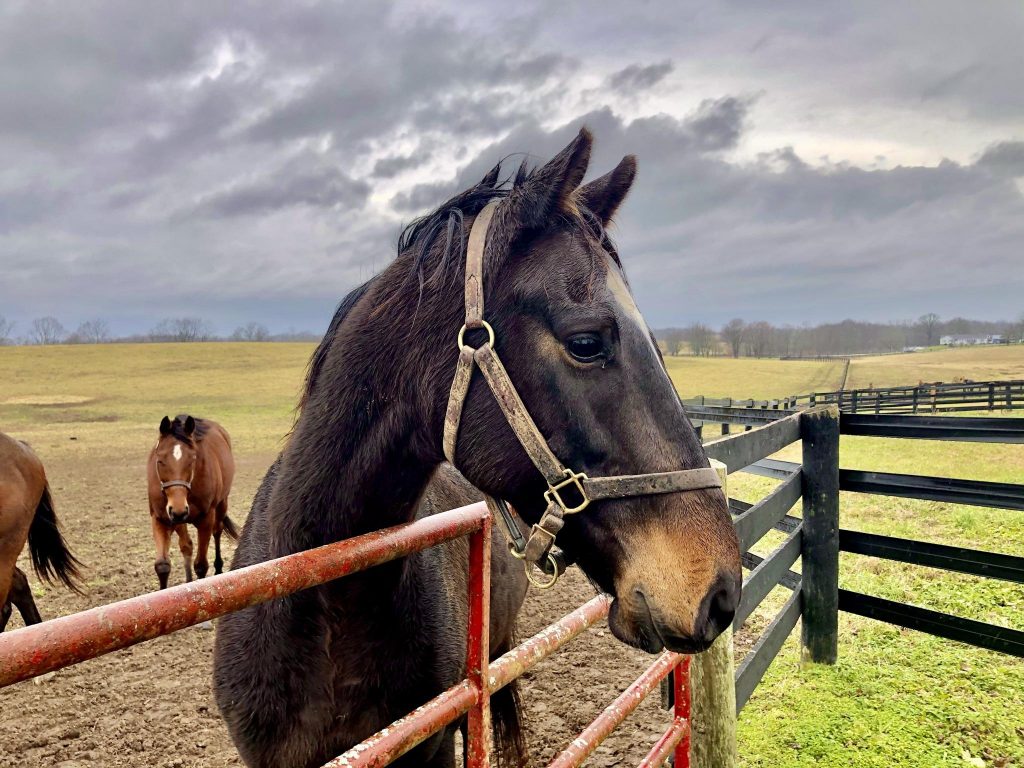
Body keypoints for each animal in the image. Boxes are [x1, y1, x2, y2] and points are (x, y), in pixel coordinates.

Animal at [147, 415, 238, 589]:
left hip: (221, 505)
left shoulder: (206, 519)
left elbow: (201, 565)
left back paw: (218, 569)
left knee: (217, 531)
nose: (178, 510)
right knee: (186, 546)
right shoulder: (160, 519)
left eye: (192, 459)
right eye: (160, 460)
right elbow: (162, 565)